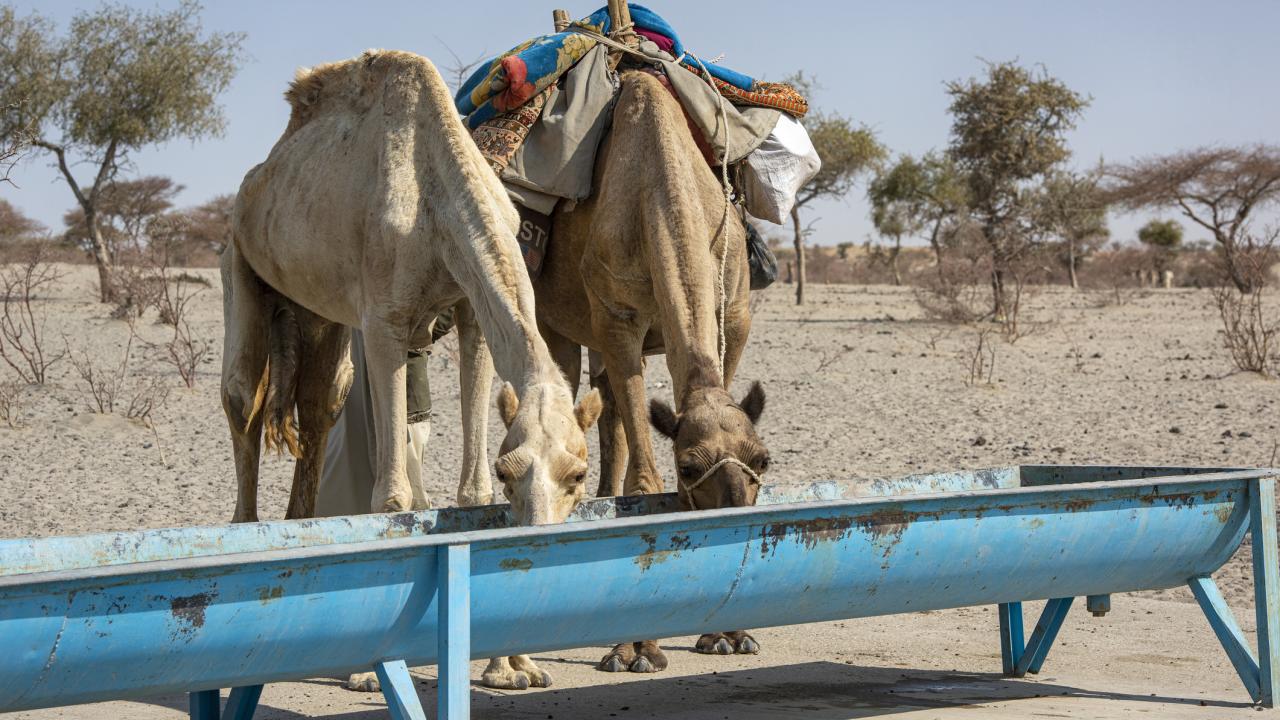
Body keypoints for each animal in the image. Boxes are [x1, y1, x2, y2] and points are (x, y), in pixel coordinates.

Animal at [221, 50, 601, 691]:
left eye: (578, 475)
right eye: (512, 473)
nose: (540, 538)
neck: (437, 192)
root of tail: (257, 177)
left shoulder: (469, 313)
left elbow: (469, 489)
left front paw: (513, 667)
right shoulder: (383, 319)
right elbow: (394, 497)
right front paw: (370, 673)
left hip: (316, 308)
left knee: (321, 402)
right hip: (238, 256)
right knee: (243, 396)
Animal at [462, 70, 772, 679]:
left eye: (763, 459)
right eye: (688, 465)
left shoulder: (734, 316)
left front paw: (729, 635)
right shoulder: (617, 319)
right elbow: (644, 483)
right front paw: (638, 650)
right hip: (560, 322)